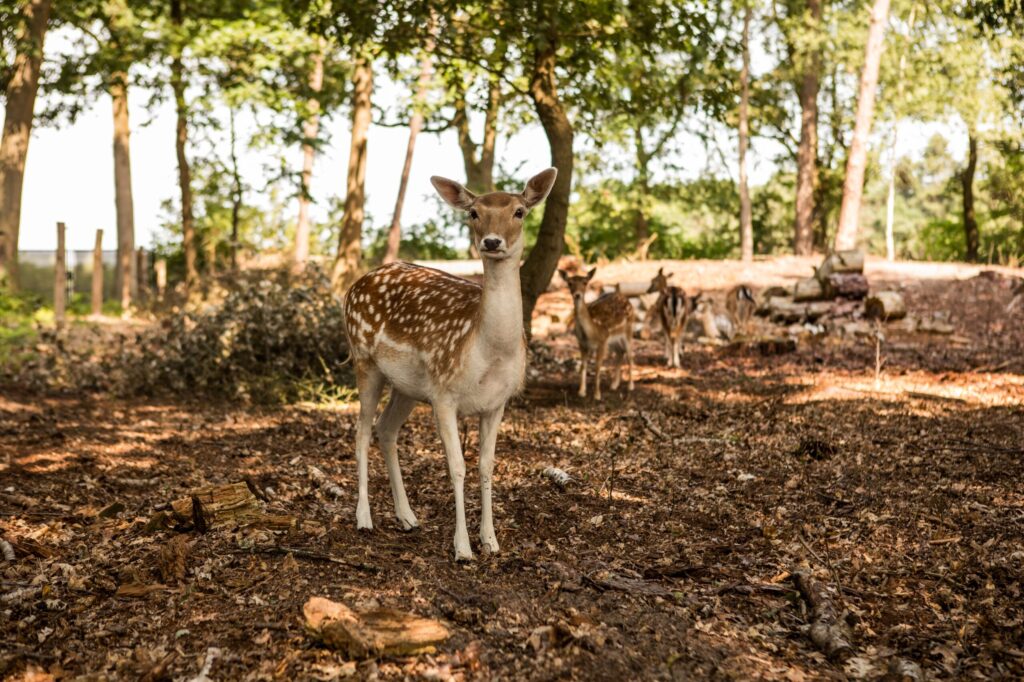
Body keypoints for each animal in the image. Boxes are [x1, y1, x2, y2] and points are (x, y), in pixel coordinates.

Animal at [344, 168, 557, 557]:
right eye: (474, 212)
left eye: (519, 211)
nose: (491, 241)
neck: (488, 352)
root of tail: (352, 287)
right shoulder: (444, 395)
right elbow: (457, 466)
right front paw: (462, 548)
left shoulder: (497, 402)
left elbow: (486, 466)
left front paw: (491, 541)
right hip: (364, 359)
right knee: (362, 430)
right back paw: (364, 518)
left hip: (409, 386)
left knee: (386, 428)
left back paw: (407, 517)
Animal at [561, 266, 630, 399]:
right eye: (569, 283)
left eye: (585, 282)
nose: (577, 295)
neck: (590, 332)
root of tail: (626, 299)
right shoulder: (581, 343)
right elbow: (583, 365)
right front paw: (581, 392)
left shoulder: (602, 340)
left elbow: (598, 367)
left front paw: (597, 395)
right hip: (613, 339)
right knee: (620, 352)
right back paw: (614, 385)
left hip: (629, 331)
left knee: (630, 355)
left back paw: (631, 386)